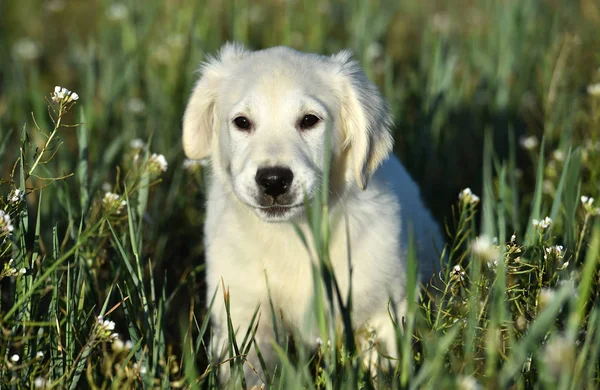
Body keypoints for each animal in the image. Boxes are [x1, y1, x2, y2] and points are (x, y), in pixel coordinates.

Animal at [183, 44, 446, 386]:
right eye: (242, 122)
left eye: (309, 120)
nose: (273, 180)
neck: (295, 236)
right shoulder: (242, 313)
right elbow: (251, 372)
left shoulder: (382, 308)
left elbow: (383, 367)